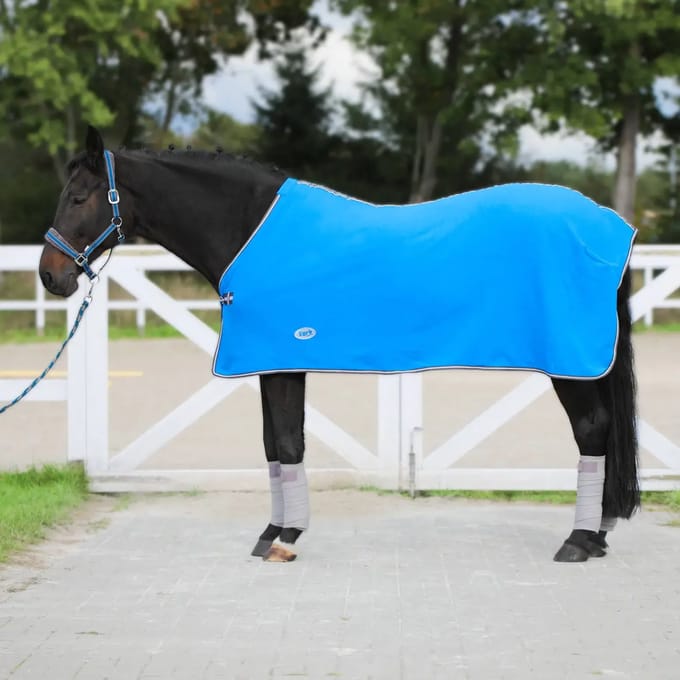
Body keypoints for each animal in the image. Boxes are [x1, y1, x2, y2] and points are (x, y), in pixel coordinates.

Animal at [38, 126, 640, 563]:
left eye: (78, 196)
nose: (50, 276)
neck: (249, 230)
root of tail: (611, 225)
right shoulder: (273, 362)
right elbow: (272, 446)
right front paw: (272, 530)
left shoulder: (281, 361)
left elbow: (287, 443)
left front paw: (286, 538)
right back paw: (598, 533)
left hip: (570, 363)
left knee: (592, 430)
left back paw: (579, 541)